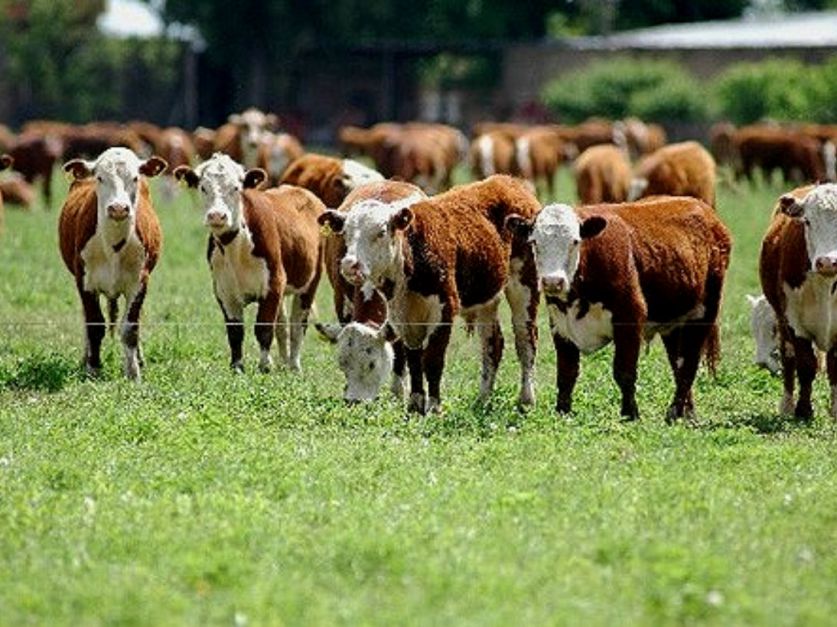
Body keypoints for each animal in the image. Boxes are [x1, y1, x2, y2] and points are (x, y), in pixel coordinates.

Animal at [57, 150, 167, 380]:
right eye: (100, 178)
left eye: (135, 178)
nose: (118, 208)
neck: (113, 244)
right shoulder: (84, 281)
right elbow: (94, 324)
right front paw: (93, 368)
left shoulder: (139, 282)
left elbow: (131, 328)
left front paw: (133, 372)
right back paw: (85, 357)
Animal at [173, 153, 324, 372]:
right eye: (203, 187)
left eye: (236, 188)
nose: (217, 215)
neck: (238, 247)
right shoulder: (224, 292)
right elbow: (235, 333)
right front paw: (237, 367)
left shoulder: (273, 284)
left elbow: (263, 328)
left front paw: (264, 367)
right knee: (283, 326)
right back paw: (284, 362)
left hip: (309, 283)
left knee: (297, 325)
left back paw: (294, 365)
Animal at [316, 174, 540, 414]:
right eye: (346, 234)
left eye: (381, 232)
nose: (350, 264)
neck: (413, 253)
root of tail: (508, 181)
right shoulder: (403, 316)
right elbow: (414, 359)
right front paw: (415, 404)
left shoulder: (444, 310)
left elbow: (432, 360)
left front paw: (433, 407)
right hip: (486, 298)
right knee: (492, 344)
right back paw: (483, 398)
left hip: (524, 286)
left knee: (526, 340)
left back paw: (526, 399)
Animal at [502, 196, 732, 422]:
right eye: (534, 242)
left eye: (575, 241)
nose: (552, 282)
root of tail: (704, 209)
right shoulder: (560, 325)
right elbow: (567, 373)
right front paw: (562, 412)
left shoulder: (630, 317)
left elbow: (624, 372)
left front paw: (630, 414)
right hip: (674, 321)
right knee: (678, 363)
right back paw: (687, 413)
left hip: (704, 313)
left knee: (689, 364)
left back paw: (674, 412)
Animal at [760, 182, 837, 420]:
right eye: (808, 221)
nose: (827, 262)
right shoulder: (794, 321)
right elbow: (805, 365)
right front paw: (803, 410)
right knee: (789, 358)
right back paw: (787, 405)